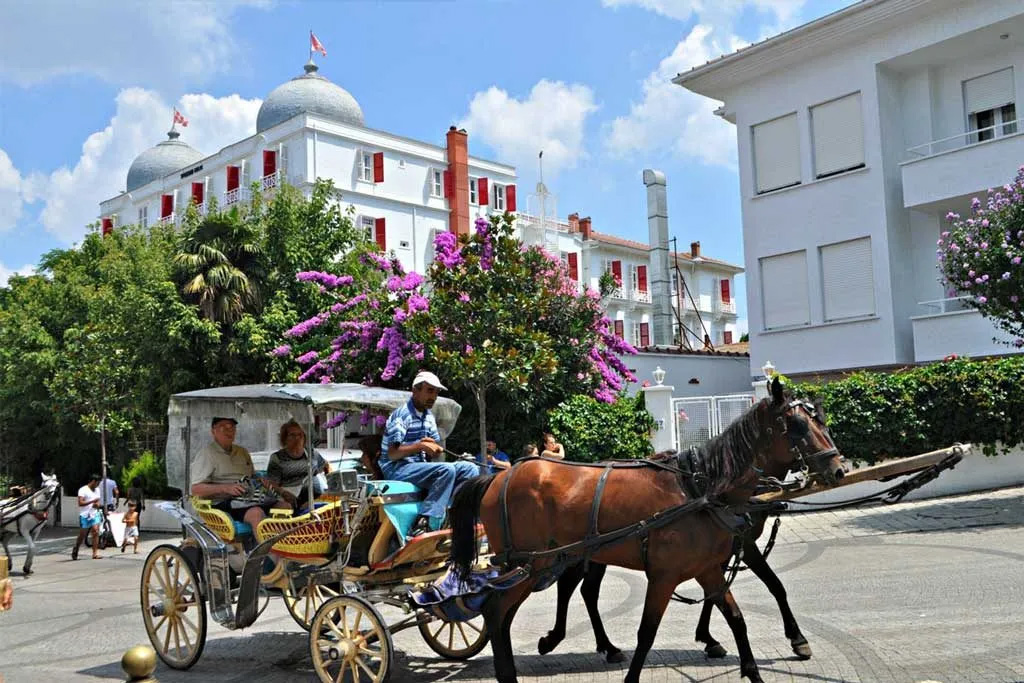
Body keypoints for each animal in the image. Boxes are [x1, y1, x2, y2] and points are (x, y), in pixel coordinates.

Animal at [448, 378, 839, 683]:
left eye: (820, 420)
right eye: (797, 426)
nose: (837, 467)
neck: (700, 490)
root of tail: (497, 477)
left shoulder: (709, 568)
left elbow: (737, 618)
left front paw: (744, 662)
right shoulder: (665, 576)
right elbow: (647, 632)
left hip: (549, 562)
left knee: (532, 606)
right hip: (531, 564)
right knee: (498, 610)